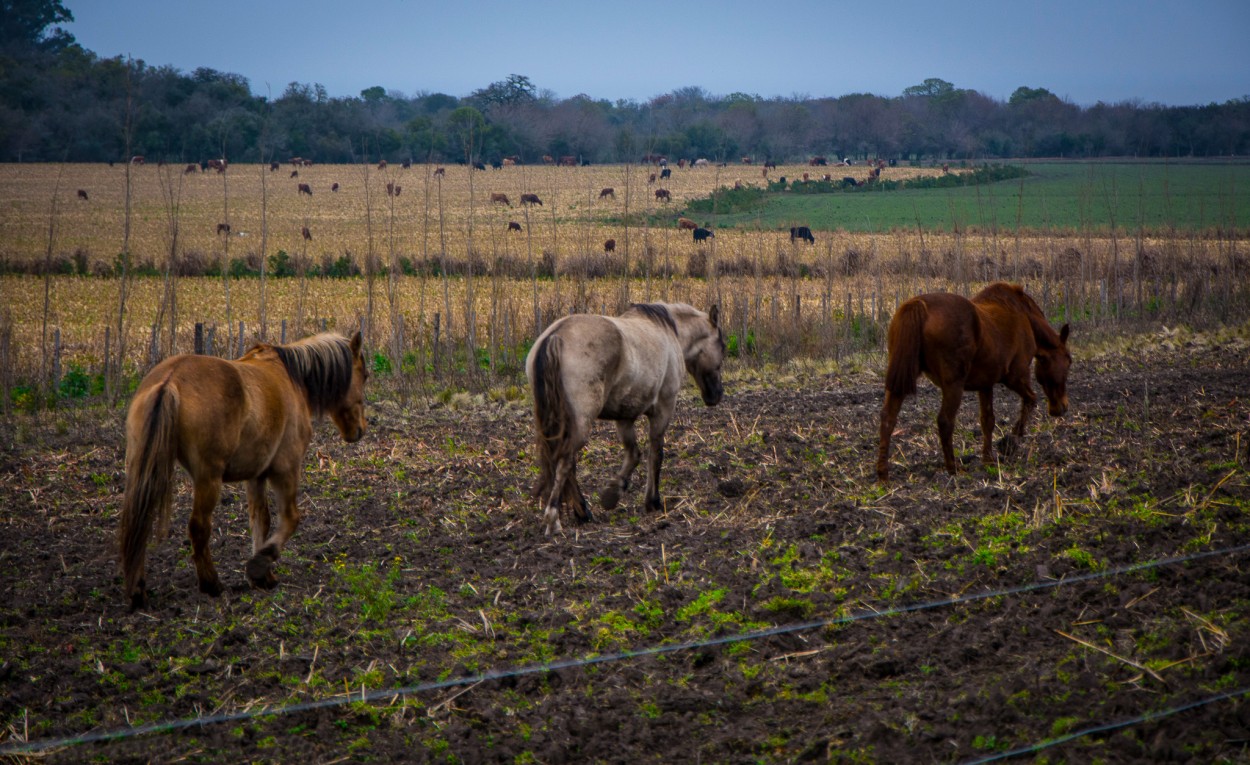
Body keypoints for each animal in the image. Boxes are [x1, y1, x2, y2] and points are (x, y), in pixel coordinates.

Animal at [117, 332, 367, 612]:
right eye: (365, 375)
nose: (360, 429)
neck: (292, 377)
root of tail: (169, 379)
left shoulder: (256, 476)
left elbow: (260, 520)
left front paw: (262, 576)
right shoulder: (286, 468)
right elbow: (290, 518)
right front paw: (260, 564)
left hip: (142, 470)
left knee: (137, 523)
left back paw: (138, 591)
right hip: (208, 479)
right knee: (199, 527)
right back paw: (211, 584)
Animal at [525, 301, 725, 535]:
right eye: (722, 346)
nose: (716, 395)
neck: (668, 330)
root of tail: (555, 336)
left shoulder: (625, 416)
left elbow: (634, 455)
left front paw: (613, 492)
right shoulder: (663, 409)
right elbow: (656, 454)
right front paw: (653, 502)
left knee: (566, 464)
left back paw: (583, 513)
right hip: (580, 424)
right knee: (565, 462)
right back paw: (554, 518)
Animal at [875, 283, 1070, 480]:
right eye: (1068, 361)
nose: (1061, 407)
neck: (1026, 318)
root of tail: (918, 305)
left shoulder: (986, 383)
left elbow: (987, 421)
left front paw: (988, 459)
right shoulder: (1015, 376)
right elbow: (1031, 399)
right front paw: (1012, 440)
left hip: (901, 378)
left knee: (888, 418)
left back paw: (883, 473)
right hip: (954, 384)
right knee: (945, 421)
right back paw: (953, 468)